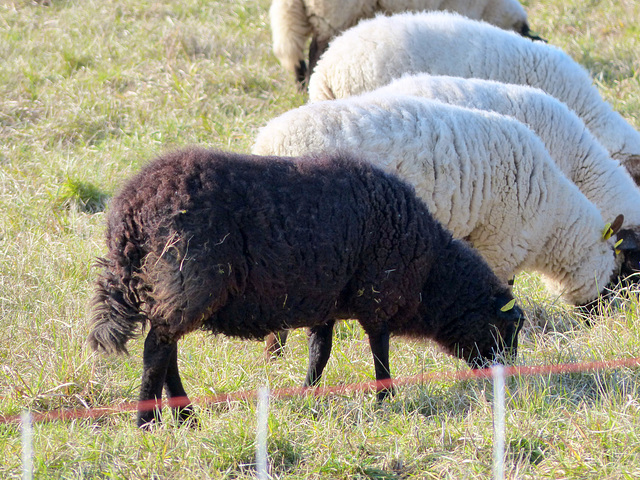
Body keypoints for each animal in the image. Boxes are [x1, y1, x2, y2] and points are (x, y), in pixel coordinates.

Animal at [86, 147, 524, 428]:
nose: (511, 381)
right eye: (507, 331)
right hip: (186, 279)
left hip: (170, 287)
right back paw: (147, 421)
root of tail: (127, 215)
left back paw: (185, 415)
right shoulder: (376, 296)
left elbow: (320, 353)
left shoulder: (327, 302)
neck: (430, 272)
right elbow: (379, 353)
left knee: (167, 351)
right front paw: (385, 400)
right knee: (156, 351)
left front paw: (307, 395)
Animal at [251, 92, 632, 306]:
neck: (553, 219)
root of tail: (266, 141)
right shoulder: (500, 244)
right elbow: (502, 287)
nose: (608, 314)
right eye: (617, 268)